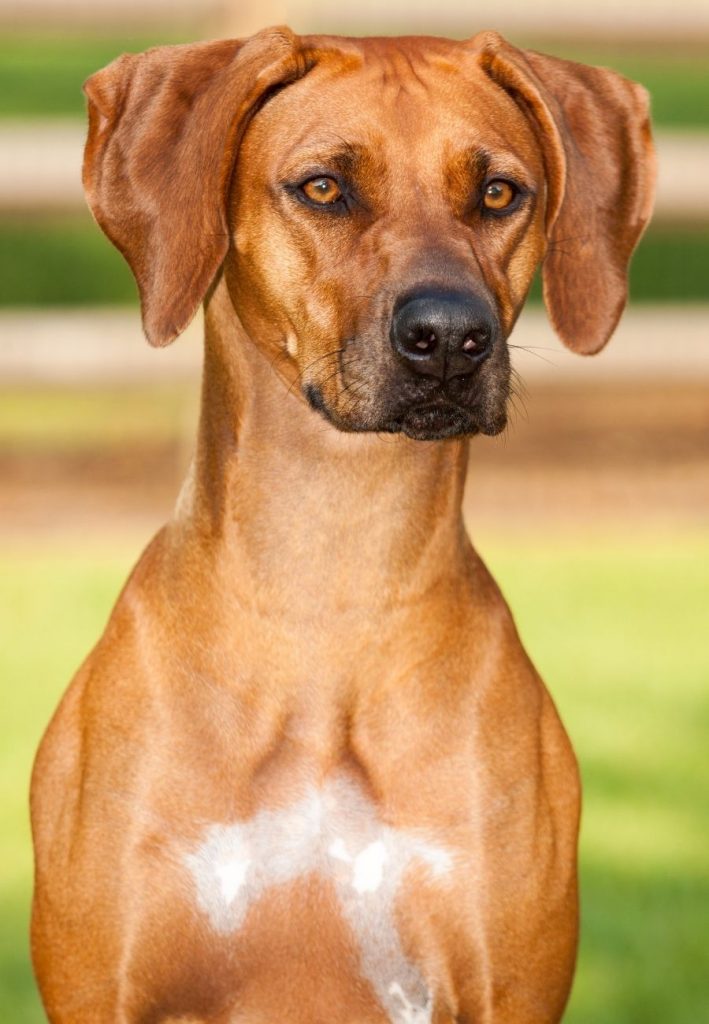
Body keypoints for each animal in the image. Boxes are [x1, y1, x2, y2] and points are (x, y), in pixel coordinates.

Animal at [31, 24, 651, 1024]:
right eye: (324, 187)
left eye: (497, 192)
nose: (450, 337)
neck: (328, 588)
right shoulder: (104, 984)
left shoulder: (505, 983)